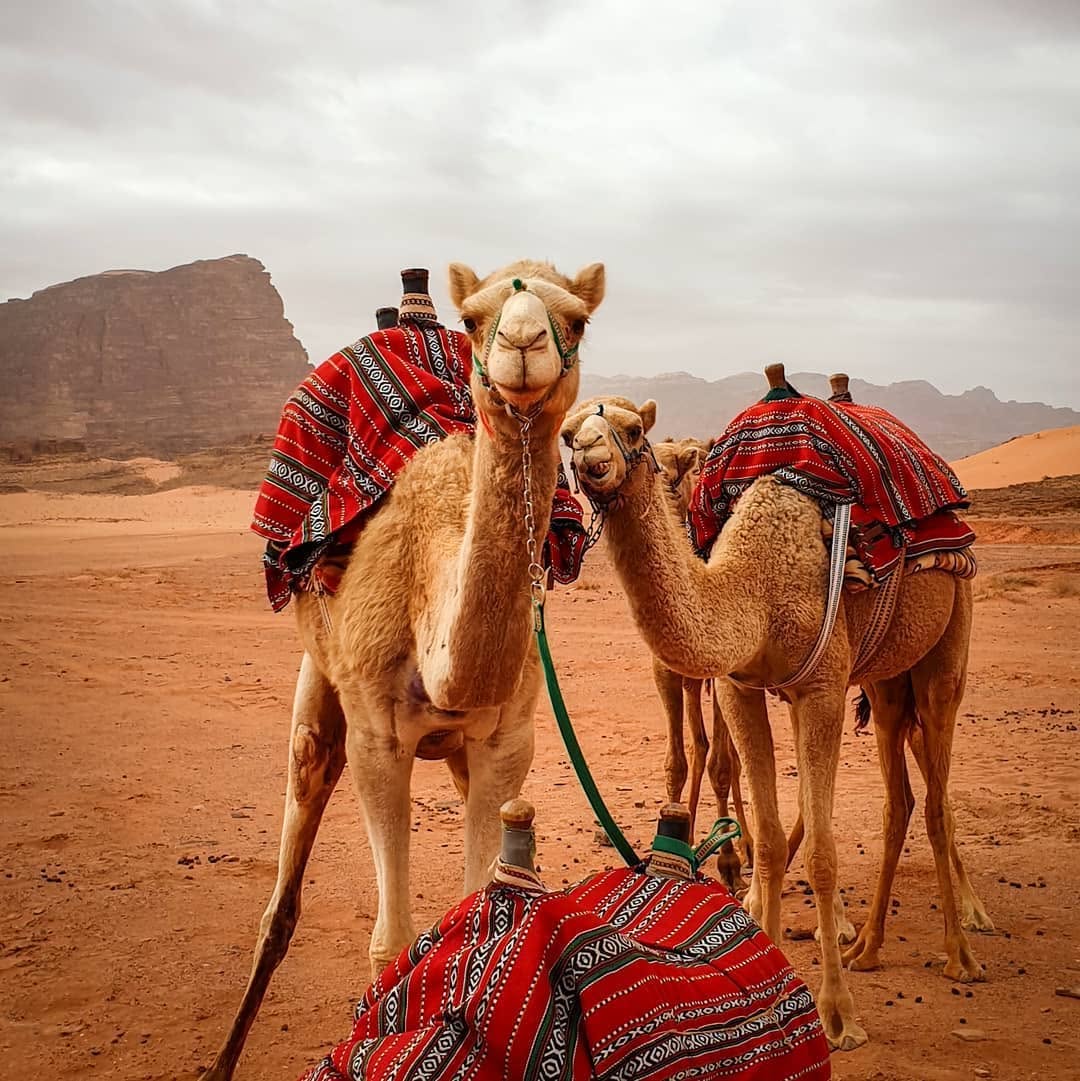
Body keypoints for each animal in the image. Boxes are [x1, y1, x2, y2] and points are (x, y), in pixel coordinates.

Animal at [206, 259, 605, 1081]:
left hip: (457, 750)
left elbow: (486, 909)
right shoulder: (377, 740)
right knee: (283, 886)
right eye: (475, 317)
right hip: (320, 689)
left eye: (577, 319)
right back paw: (222, 1056)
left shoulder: (507, 739)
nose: (522, 344)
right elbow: (389, 941)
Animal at [560, 390, 989, 1051]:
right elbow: (762, 830)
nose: (592, 462)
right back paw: (868, 946)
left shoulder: (821, 687)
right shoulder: (744, 688)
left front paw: (839, 1015)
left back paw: (961, 951)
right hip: (887, 681)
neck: (754, 586)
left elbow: (824, 852)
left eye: (632, 430)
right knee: (900, 797)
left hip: (945, 651)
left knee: (938, 798)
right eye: (566, 434)